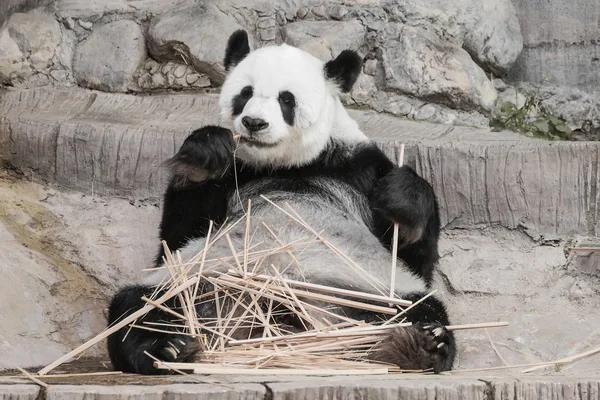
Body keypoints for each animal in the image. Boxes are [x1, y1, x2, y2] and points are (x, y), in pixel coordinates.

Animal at [108, 28, 454, 376]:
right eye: (245, 94)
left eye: (286, 99)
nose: (254, 123)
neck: (286, 165)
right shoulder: (236, 174)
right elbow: (176, 236)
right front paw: (204, 156)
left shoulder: (359, 168)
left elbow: (414, 257)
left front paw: (401, 198)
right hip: (193, 282)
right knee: (138, 307)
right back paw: (165, 348)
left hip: (364, 291)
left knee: (421, 308)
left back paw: (419, 345)